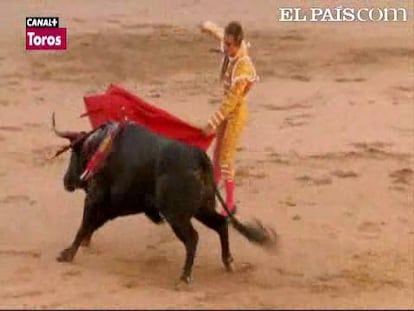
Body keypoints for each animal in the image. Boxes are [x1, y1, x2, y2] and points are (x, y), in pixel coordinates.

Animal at [52, 115, 278, 286]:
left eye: (74, 153)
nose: (66, 181)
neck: (100, 149)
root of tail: (198, 156)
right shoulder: (114, 206)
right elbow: (92, 224)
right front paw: (82, 245)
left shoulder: (95, 198)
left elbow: (84, 225)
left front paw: (67, 254)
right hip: (202, 208)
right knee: (221, 223)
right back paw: (228, 262)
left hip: (176, 215)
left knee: (192, 238)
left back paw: (185, 277)